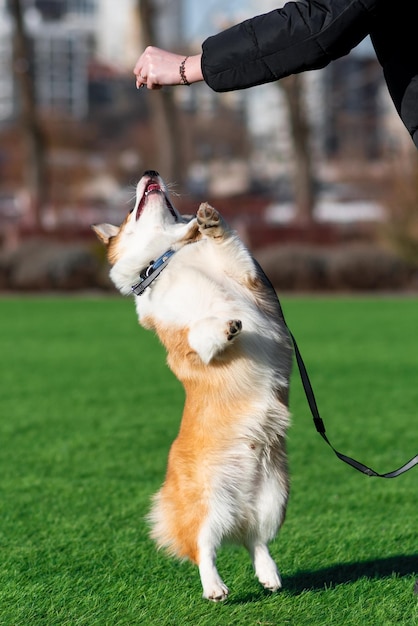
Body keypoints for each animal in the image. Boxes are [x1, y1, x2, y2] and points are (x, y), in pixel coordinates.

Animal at [93, 168, 292, 596]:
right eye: (128, 210)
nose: (150, 171)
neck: (165, 259)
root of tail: (239, 508)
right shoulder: (184, 341)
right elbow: (202, 330)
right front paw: (226, 326)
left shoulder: (245, 276)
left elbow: (230, 247)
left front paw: (209, 220)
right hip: (209, 503)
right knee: (204, 548)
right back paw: (215, 588)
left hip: (274, 498)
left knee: (256, 541)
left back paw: (269, 575)